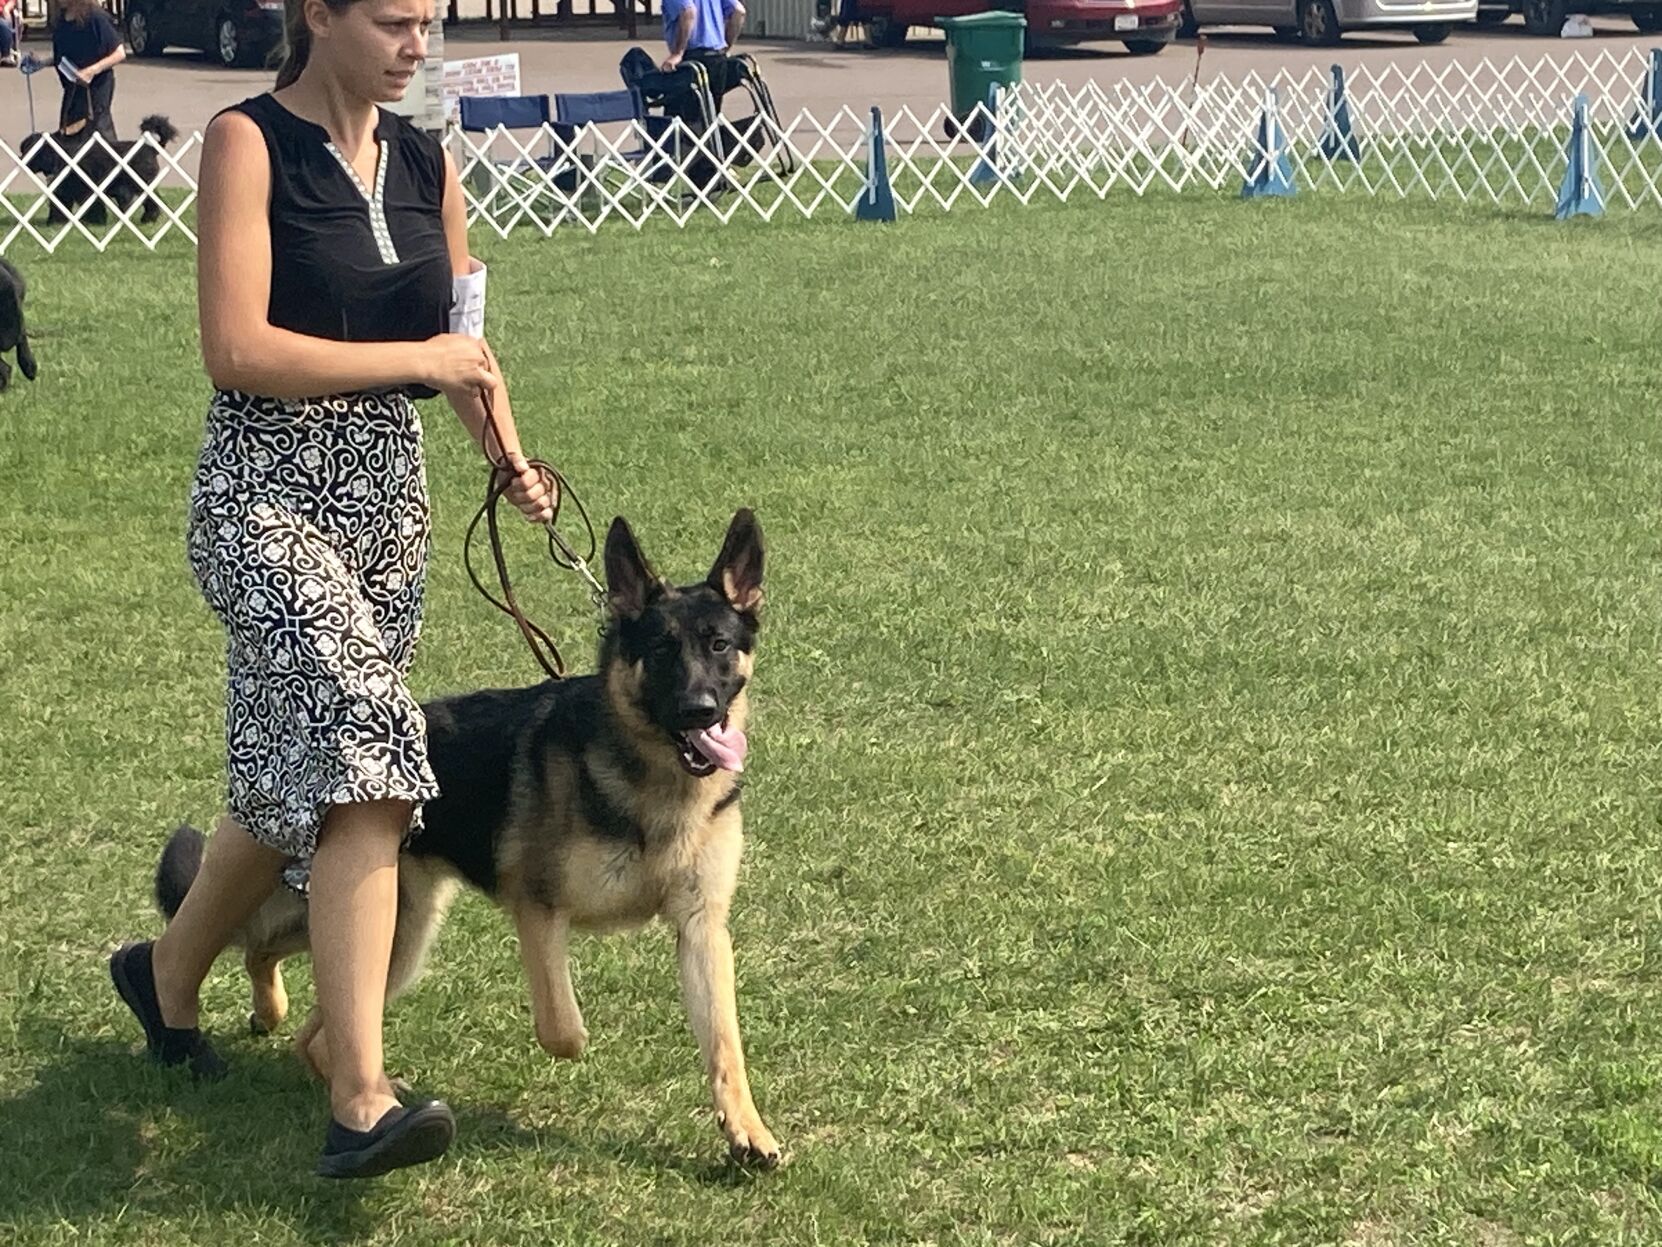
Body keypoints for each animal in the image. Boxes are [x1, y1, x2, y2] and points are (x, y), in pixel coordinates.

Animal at [22, 114, 180, 227]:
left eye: (28, 149)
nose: (21, 158)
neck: (60, 155)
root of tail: (149, 148)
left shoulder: (86, 190)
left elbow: (93, 207)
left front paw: (95, 221)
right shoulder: (64, 191)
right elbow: (60, 207)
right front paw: (55, 222)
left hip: (141, 184)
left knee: (152, 202)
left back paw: (148, 218)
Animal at [151, 508, 784, 1170]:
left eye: (718, 646)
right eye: (661, 651)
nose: (699, 709)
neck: (651, 781)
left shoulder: (701, 928)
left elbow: (725, 1046)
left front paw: (747, 1130)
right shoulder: (537, 909)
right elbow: (562, 1029)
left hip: (395, 931)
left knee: (285, 986)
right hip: (390, 931)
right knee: (286, 983)